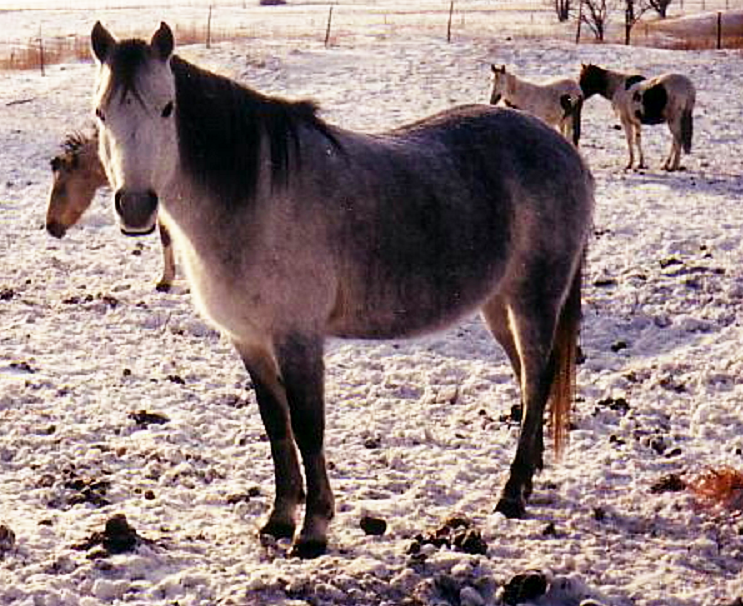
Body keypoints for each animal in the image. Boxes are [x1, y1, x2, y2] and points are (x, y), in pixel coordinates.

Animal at [91, 21, 595, 558]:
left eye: (167, 108)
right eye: (101, 113)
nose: (136, 206)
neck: (256, 197)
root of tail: (565, 152)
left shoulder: (298, 338)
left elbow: (308, 426)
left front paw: (313, 528)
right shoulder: (249, 340)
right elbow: (276, 424)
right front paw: (278, 518)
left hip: (534, 298)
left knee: (538, 380)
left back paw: (512, 494)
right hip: (498, 305)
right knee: (528, 378)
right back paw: (529, 475)